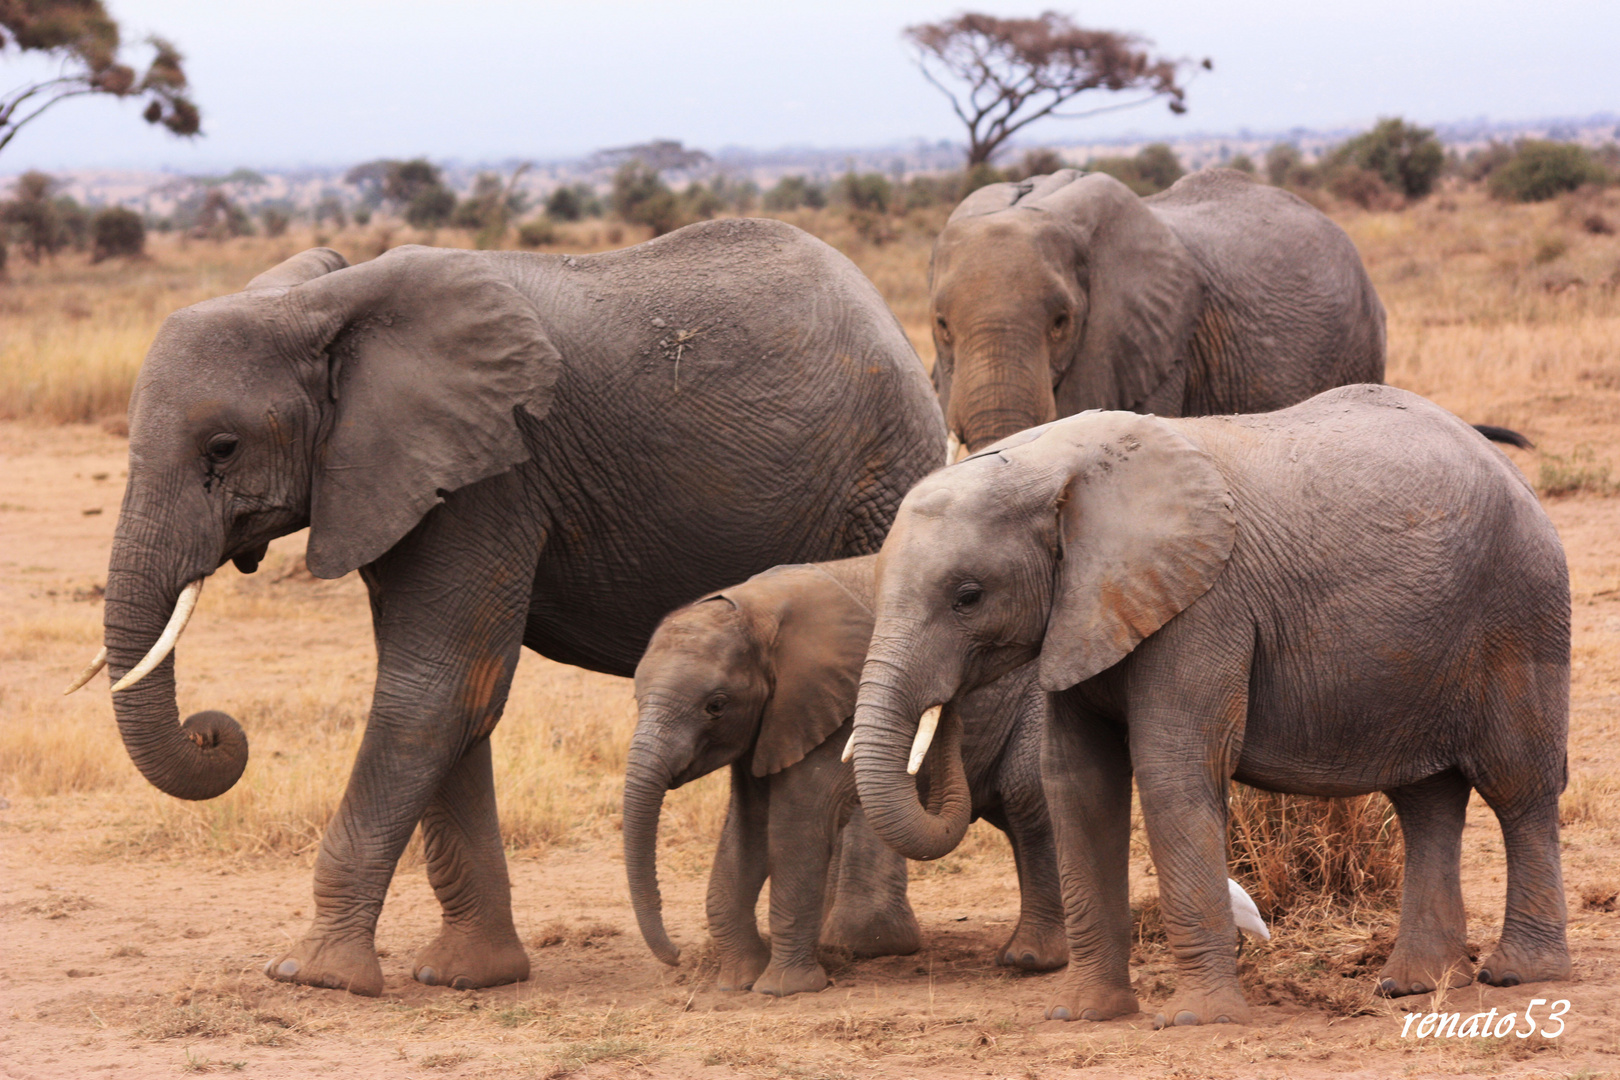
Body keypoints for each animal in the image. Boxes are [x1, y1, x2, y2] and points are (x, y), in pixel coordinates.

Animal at [69, 223, 946, 1003]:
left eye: (221, 448)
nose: (212, 731)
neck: (317, 307)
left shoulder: (493, 476)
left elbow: (433, 689)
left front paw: (312, 975)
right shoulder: (414, 480)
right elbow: (459, 698)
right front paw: (468, 977)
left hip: (883, 469)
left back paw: (859, 946)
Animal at [618, 557, 1062, 997]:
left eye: (716, 705)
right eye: (636, 698)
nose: (675, 956)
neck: (757, 610)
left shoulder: (833, 709)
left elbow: (800, 824)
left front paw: (782, 989)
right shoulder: (770, 725)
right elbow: (746, 832)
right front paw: (737, 982)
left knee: (1029, 803)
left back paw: (1029, 959)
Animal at [848, 382, 1568, 1029]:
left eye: (968, 596)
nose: (945, 705)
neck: (1049, 461)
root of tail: (1504, 463)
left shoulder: (1203, 607)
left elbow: (1172, 772)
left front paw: (1196, 1020)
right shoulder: (1086, 613)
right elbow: (1078, 783)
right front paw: (1080, 1015)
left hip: (1520, 608)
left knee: (1519, 788)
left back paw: (1518, 973)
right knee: (1425, 800)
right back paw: (1415, 984)